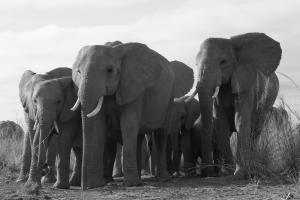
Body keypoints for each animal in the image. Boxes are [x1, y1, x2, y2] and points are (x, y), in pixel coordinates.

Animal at [71, 42, 193, 189]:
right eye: (78, 72)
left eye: (110, 70)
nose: (84, 188)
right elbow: (98, 126)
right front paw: (96, 185)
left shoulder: (135, 88)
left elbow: (128, 125)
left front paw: (130, 184)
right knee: (139, 137)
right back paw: (140, 178)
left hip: (169, 97)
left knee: (160, 135)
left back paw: (162, 178)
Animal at [188, 32, 282, 178]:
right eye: (196, 64)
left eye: (223, 62)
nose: (207, 173)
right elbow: (221, 125)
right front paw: (227, 172)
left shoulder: (246, 83)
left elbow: (241, 120)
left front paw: (239, 173)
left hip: (267, 101)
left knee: (255, 130)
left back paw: (252, 165)